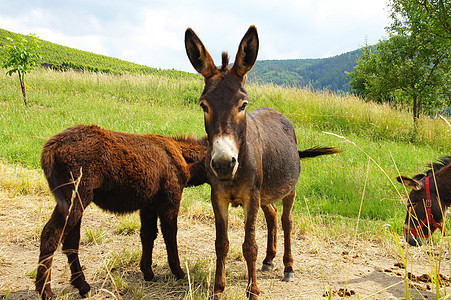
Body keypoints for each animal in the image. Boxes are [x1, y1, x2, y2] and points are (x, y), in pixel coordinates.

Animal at [35, 124, 208, 298]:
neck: (183, 158)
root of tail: (51, 146)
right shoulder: (170, 202)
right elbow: (170, 236)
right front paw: (179, 272)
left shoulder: (149, 205)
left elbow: (148, 235)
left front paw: (148, 272)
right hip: (75, 197)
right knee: (51, 235)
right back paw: (46, 291)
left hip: (76, 201)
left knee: (70, 241)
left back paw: (82, 286)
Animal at [185, 26, 340, 300]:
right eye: (204, 105)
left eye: (243, 105)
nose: (223, 164)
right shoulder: (219, 196)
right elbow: (221, 244)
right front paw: (218, 289)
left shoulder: (251, 196)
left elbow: (249, 245)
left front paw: (253, 290)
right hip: (266, 193)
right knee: (272, 215)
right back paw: (269, 260)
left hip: (288, 189)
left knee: (287, 221)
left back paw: (288, 267)